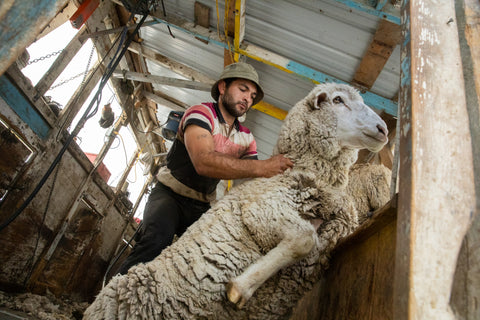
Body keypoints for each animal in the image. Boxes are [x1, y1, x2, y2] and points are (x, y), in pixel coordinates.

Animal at [82, 83, 390, 320]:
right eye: (338, 100)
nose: (384, 129)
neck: (306, 171)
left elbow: (309, 243)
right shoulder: (261, 209)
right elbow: (303, 239)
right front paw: (240, 287)